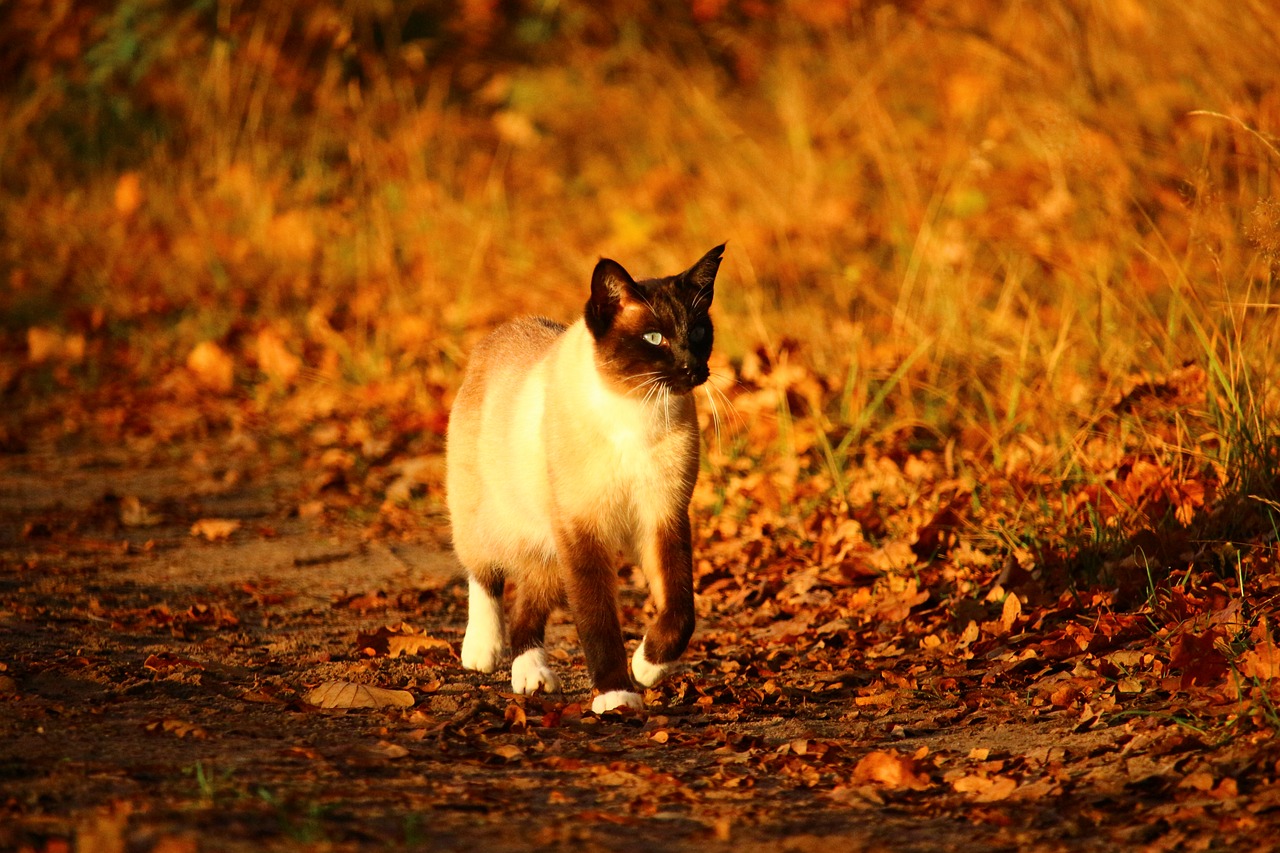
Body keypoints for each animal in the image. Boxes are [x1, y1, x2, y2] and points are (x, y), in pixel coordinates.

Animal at [442, 240, 727, 712]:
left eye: (700, 332)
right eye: (655, 338)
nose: (692, 368)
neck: (637, 410)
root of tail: (506, 329)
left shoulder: (663, 517)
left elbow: (681, 609)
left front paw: (648, 667)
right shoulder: (583, 530)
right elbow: (598, 621)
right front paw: (617, 695)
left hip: (549, 551)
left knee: (527, 611)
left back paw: (532, 676)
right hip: (498, 520)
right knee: (483, 572)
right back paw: (482, 651)